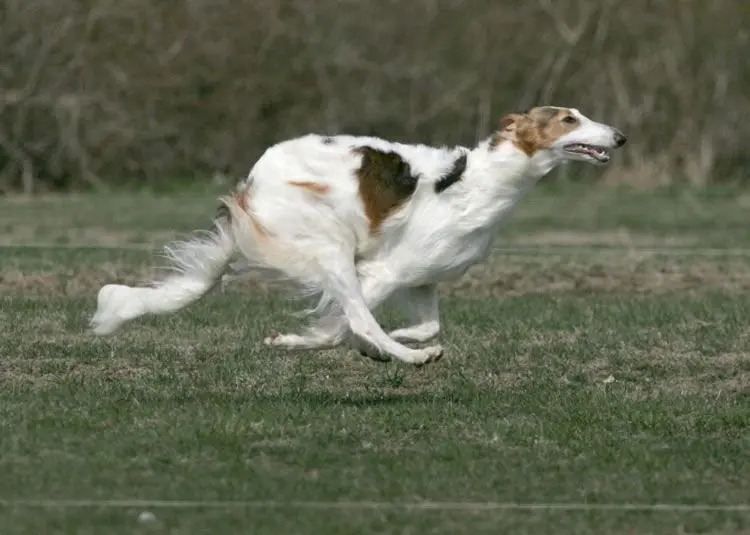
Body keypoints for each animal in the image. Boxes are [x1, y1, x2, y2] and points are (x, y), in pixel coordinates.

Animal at [92, 108, 628, 368]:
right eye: (569, 118)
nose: (620, 136)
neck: (481, 181)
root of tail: (253, 182)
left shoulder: (423, 278)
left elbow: (425, 324)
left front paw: (400, 337)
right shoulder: (384, 271)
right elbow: (348, 326)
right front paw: (329, 343)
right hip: (330, 248)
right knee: (359, 317)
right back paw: (409, 359)